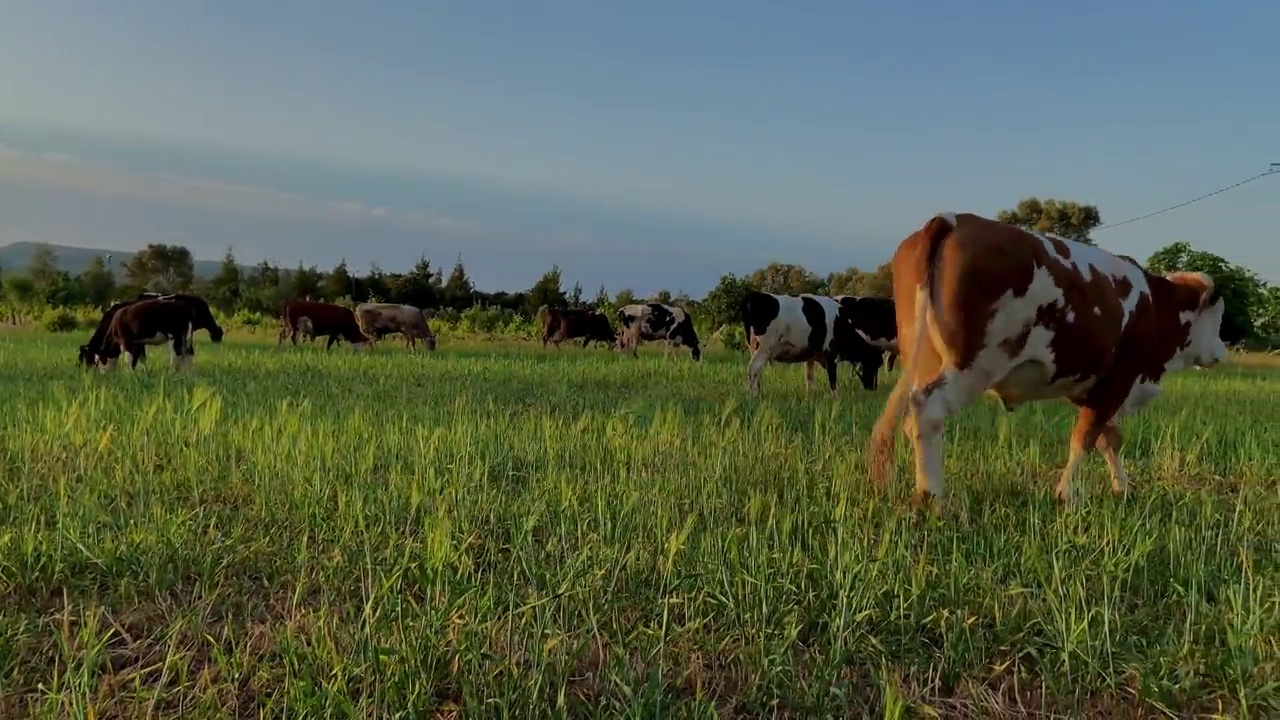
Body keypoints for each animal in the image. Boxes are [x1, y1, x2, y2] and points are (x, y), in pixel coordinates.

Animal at [78, 289, 222, 366]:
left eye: (86, 358)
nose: (86, 372)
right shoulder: (139, 342)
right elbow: (141, 358)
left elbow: (138, 358)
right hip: (187, 337)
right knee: (188, 354)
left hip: (177, 336)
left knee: (177, 355)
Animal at [737, 288, 885, 394]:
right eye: (875, 364)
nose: (873, 388)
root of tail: (755, 295)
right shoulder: (831, 354)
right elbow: (833, 380)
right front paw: (836, 400)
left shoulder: (810, 355)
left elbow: (809, 377)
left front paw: (809, 397)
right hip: (764, 348)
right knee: (753, 368)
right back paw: (754, 396)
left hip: (753, 347)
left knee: (755, 373)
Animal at [865, 208, 1223, 509]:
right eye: (1219, 316)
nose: (1221, 351)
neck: (1156, 307)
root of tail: (951, 218)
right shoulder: (1120, 380)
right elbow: (1085, 439)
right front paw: (1066, 493)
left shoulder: (1092, 386)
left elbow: (1109, 439)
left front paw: (1121, 487)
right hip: (970, 367)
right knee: (928, 412)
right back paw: (934, 499)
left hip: (923, 360)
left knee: (912, 419)